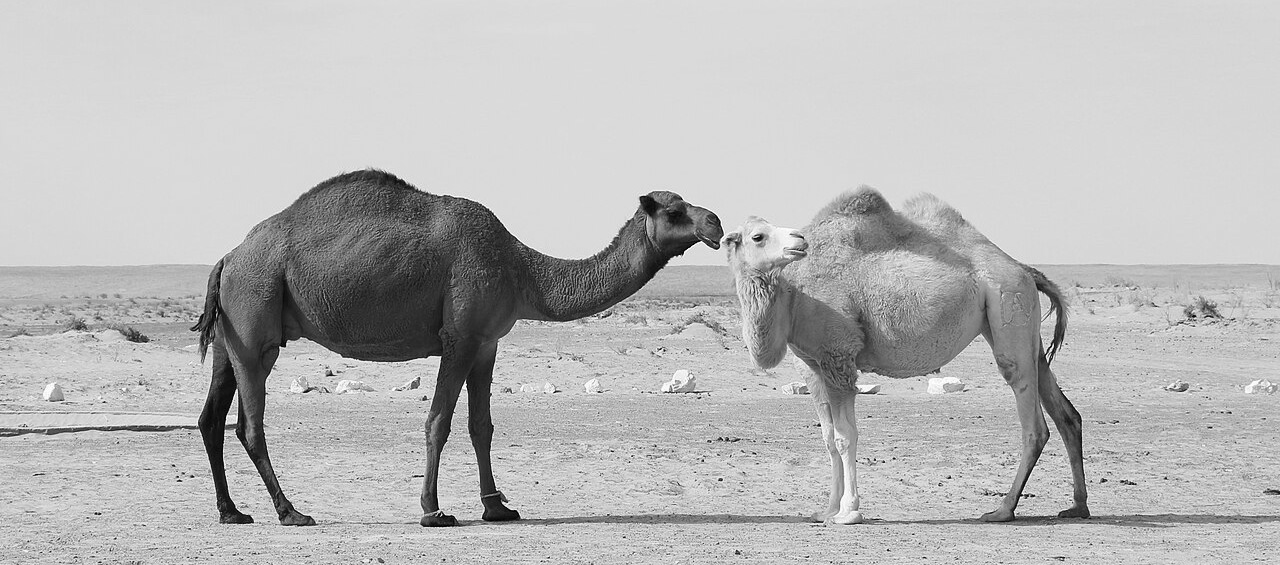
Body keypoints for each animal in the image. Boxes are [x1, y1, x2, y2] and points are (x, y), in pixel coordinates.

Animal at [190, 169, 723, 527]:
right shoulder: (460, 337)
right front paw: (433, 511)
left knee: (211, 417)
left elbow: (480, 426)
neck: (520, 267)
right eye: (674, 211)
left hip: (230, 336)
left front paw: (498, 507)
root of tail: (229, 256)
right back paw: (291, 512)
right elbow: (439, 421)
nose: (715, 223)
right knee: (249, 425)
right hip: (256, 320)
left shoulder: (487, 343)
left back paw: (232, 512)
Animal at [722, 187, 1089, 524]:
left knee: (1033, 422)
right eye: (758, 236)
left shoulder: (839, 355)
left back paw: (1002, 510)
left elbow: (845, 437)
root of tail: (1025, 269)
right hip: (1020, 323)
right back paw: (1077, 506)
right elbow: (827, 438)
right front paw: (826, 510)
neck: (793, 298)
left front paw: (848, 512)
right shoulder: (812, 365)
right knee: (1065, 412)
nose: (799, 240)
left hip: (1006, 301)